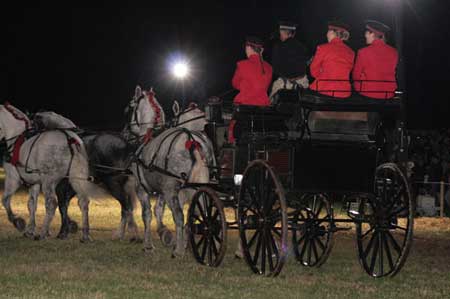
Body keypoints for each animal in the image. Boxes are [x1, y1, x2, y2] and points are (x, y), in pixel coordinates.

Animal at [0, 103, 94, 241]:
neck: (17, 138)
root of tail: (70, 139)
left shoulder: (13, 178)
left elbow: (5, 200)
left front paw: (18, 222)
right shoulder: (34, 182)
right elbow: (31, 204)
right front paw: (30, 229)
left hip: (49, 181)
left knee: (53, 203)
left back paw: (43, 233)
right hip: (76, 179)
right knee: (82, 202)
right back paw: (85, 235)